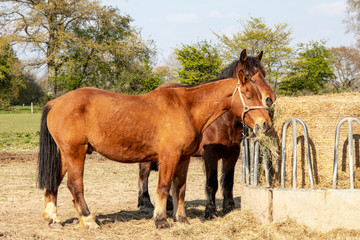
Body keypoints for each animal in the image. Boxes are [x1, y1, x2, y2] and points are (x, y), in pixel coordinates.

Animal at [137, 49, 276, 218]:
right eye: (248, 75)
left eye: (264, 73)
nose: (270, 99)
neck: (222, 120)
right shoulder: (210, 154)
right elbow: (212, 183)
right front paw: (210, 210)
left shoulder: (232, 153)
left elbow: (228, 182)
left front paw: (228, 207)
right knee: (144, 174)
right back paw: (145, 202)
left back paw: (168, 203)